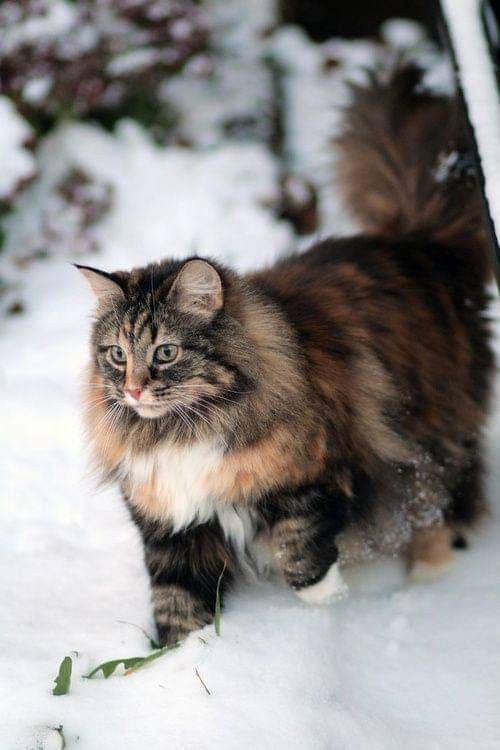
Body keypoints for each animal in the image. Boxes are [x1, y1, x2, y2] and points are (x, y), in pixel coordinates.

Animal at [79, 66, 496, 648]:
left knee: (443, 500)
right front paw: (174, 659)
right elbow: (178, 605)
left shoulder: (314, 478)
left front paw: (329, 600)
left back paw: (426, 578)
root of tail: (416, 243)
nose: (133, 388)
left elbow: (302, 554)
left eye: (165, 352)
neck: (182, 433)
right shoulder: (171, 527)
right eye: (117, 354)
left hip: (430, 438)